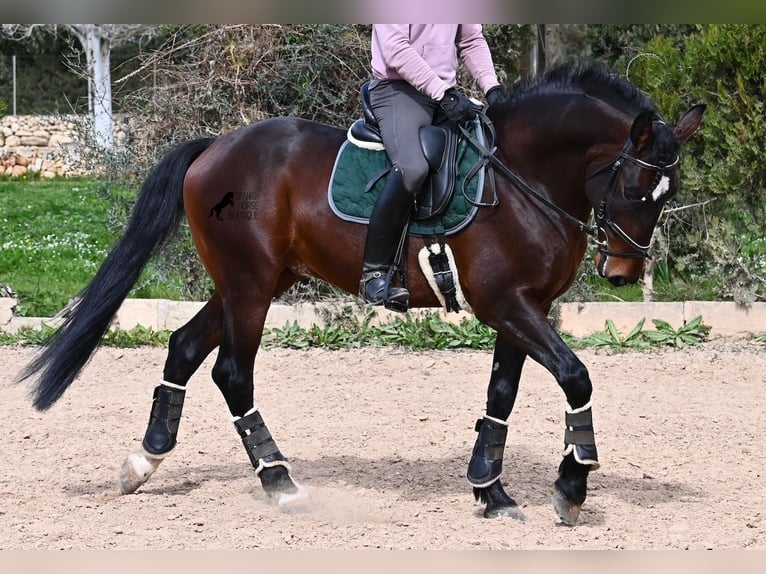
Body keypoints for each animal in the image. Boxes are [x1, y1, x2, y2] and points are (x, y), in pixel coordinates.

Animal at [16, 63, 708, 528]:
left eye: (667, 194)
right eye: (634, 186)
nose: (623, 272)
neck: (522, 177)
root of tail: (216, 145)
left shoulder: (524, 308)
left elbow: (502, 397)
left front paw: (491, 492)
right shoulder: (508, 306)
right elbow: (576, 375)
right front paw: (570, 486)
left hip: (256, 282)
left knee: (184, 346)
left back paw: (143, 462)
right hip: (250, 288)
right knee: (232, 372)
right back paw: (281, 483)